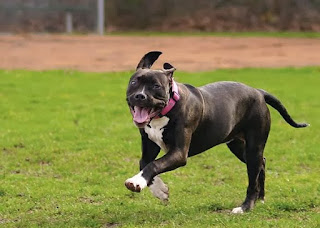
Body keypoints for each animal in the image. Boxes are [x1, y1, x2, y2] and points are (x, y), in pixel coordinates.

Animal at [124, 50, 308, 213]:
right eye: (134, 82)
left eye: (156, 86)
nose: (140, 96)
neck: (167, 109)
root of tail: (258, 92)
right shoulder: (150, 145)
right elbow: (144, 163)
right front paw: (160, 190)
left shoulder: (179, 153)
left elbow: (154, 164)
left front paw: (136, 182)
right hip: (239, 146)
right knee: (261, 164)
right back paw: (260, 198)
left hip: (253, 146)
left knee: (253, 178)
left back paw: (245, 207)